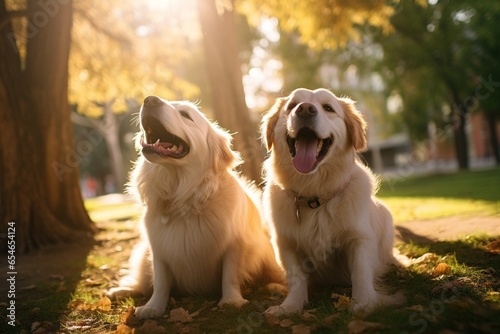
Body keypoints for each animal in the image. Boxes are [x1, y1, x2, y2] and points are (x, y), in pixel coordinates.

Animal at [262, 87, 402, 314]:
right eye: (291, 106)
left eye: (328, 108)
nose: (305, 109)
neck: (314, 195)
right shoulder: (285, 244)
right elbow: (295, 277)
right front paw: (289, 306)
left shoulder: (359, 238)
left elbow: (361, 271)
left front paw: (364, 304)